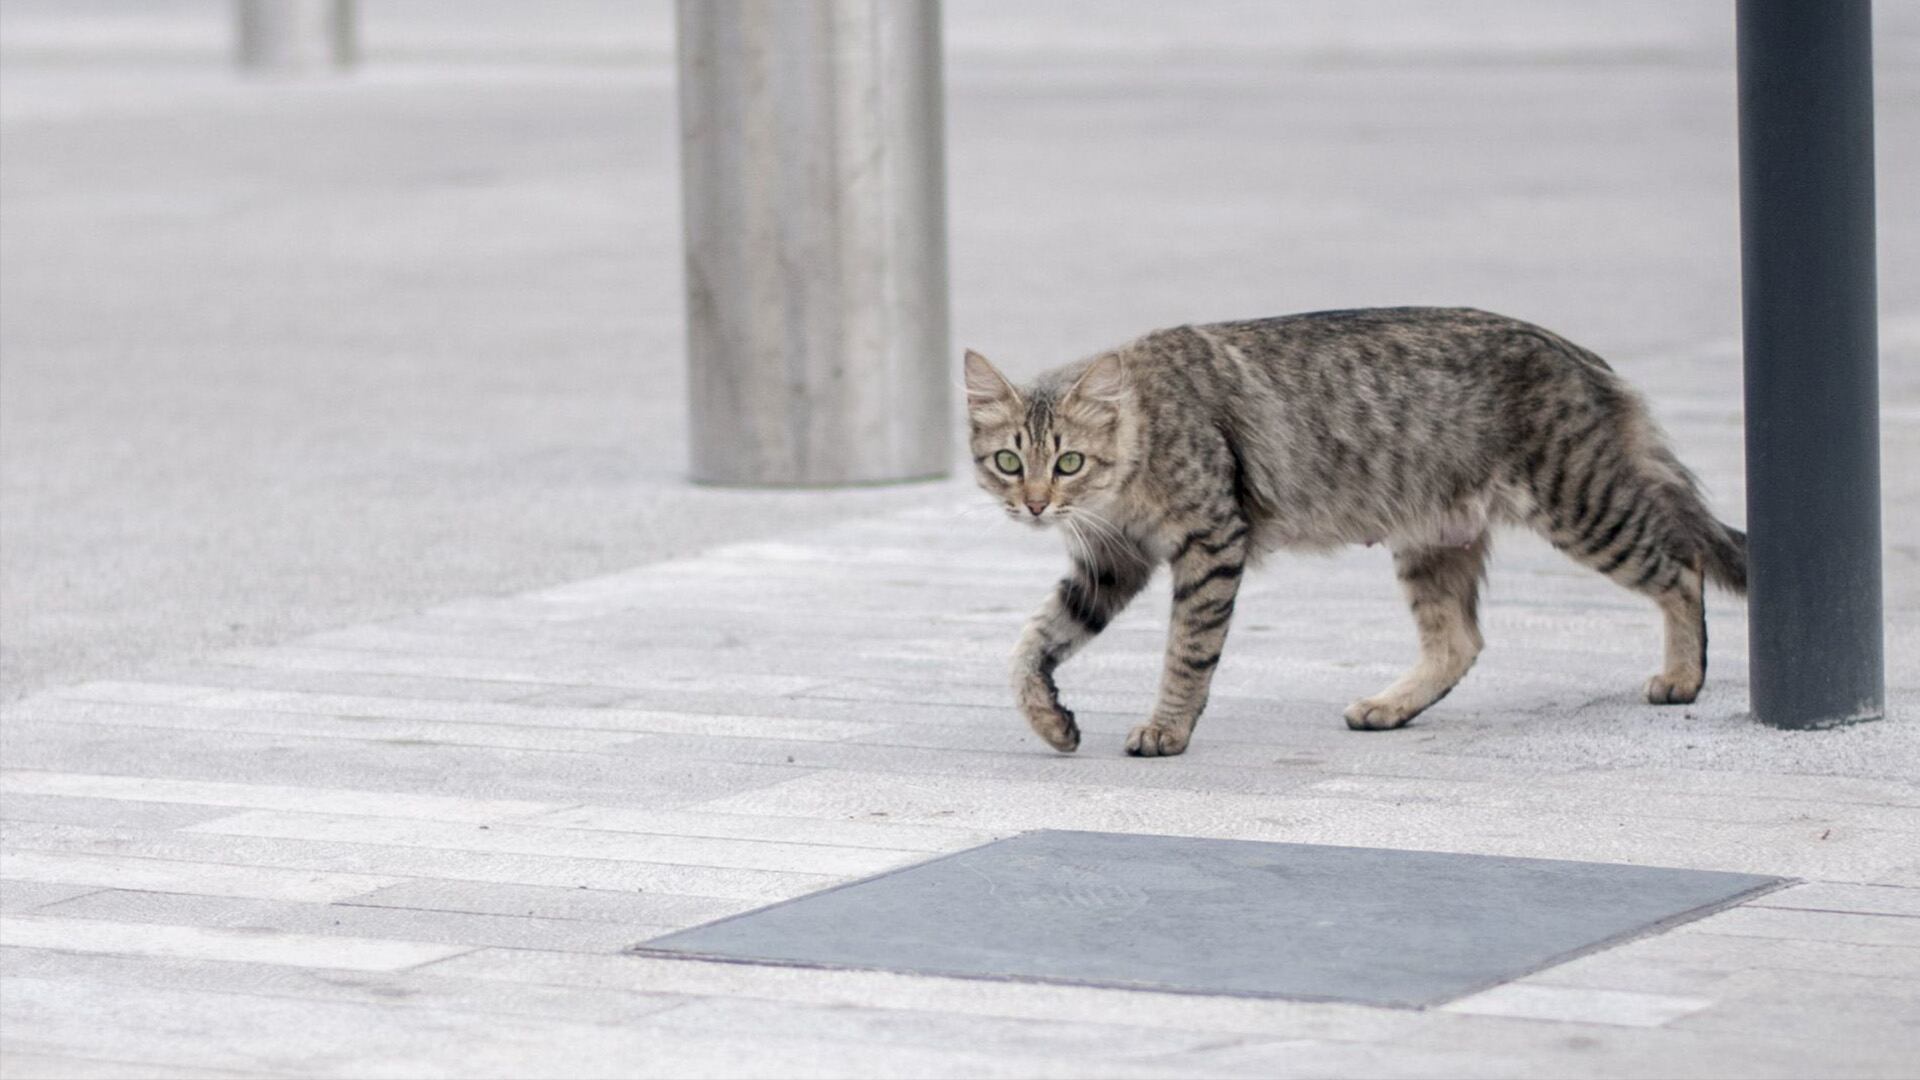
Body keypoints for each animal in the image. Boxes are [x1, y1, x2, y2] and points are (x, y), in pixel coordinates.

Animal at [967, 307, 1751, 753]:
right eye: (1009, 461)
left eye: (1068, 461)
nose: (1034, 505)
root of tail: (1578, 354)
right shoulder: (1112, 562)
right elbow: (1030, 645)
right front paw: (1050, 720)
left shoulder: (1210, 543)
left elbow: (1186, 653)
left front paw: (1168, 729)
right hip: (1437, 538)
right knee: (1460, 642)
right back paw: (1389, 709)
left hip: (1581, 505)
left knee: (1681, 567)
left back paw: (1684, 677)